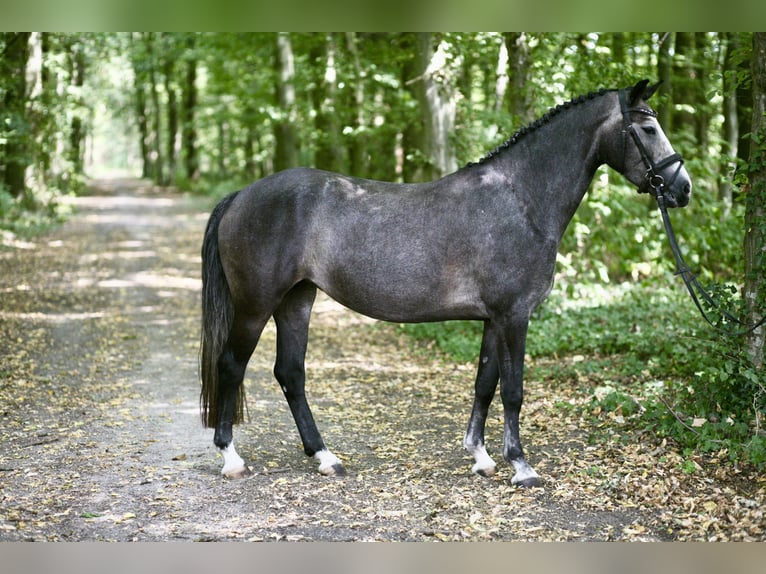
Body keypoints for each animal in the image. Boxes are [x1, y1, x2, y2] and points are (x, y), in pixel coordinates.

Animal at [201, 79, 692, 488]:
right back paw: (232, 458)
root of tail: (241, 195)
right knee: (231, 365)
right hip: (256, 304)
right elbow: (513, 391)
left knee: (290, 373)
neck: (520, 198)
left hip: (296, 300)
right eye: (648, 128)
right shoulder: (515, 315)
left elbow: (485, 383)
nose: (682, 188)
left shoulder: (494, 318)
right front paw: (522, 466)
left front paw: (482, 457)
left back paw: (325, 457)